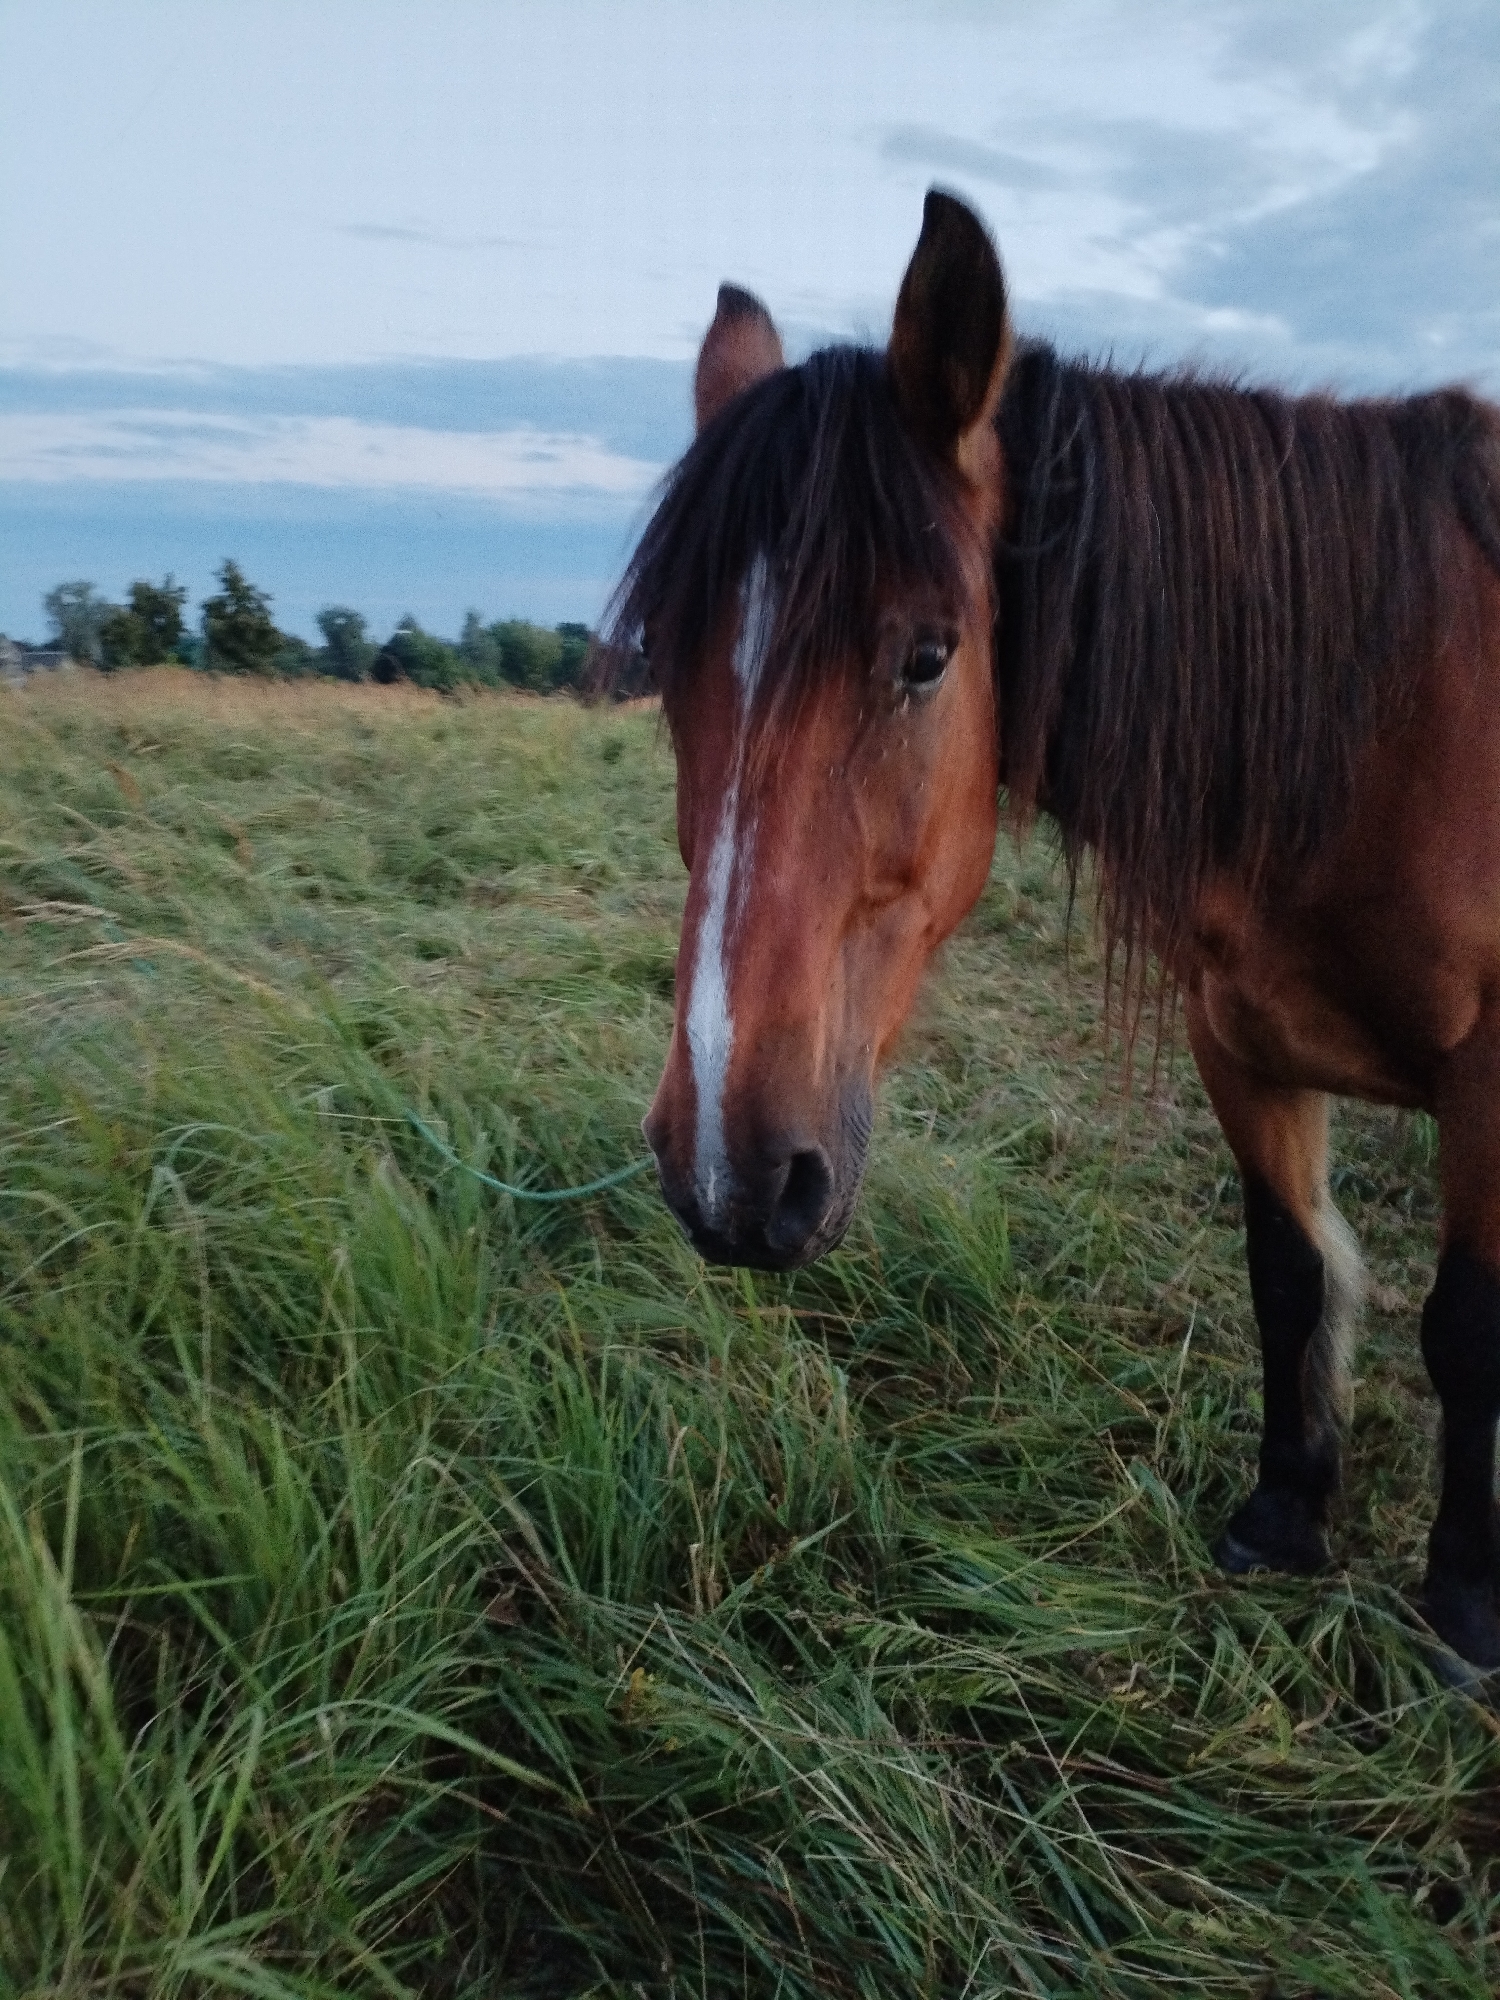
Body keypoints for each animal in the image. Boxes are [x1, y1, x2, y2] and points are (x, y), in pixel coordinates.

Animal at [606, 189, 1500, 1671]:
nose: (730, 1175)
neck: (1387, 720)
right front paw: (1282, 1516)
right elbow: (1288, 1272)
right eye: (665, 672)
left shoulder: (1489, 1080)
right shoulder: (1243, 1046)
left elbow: (1464, 1323)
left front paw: (1468, 1607)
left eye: (927, 656)